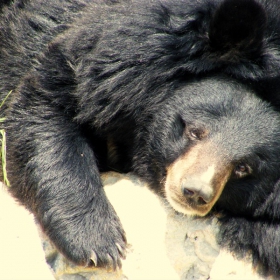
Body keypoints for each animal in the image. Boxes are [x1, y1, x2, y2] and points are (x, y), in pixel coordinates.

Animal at [1, 0, 280, 276]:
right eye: (194, 131)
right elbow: (48, 100)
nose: (195, 192)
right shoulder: (116, 62)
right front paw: (97, 242)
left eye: (244, 168)